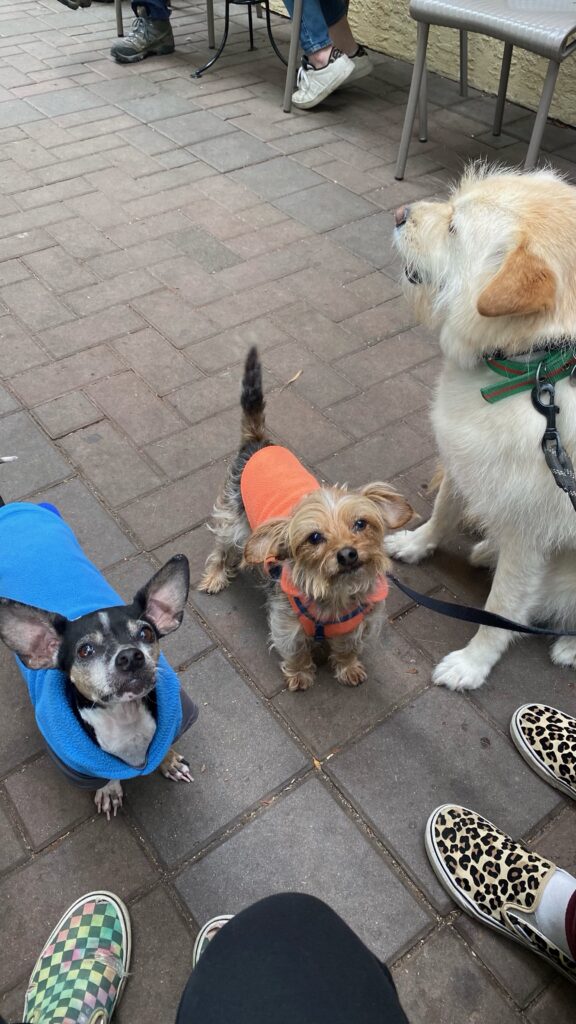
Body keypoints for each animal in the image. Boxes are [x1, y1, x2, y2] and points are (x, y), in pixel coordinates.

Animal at [387, 167, 576, 692]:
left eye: (455, 229)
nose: (398, 212)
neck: (532, 366)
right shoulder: (464, 459)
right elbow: (442, 513)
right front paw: (415, 545)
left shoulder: (532, 533)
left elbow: (502, 609)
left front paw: (473, 664)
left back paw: (569, 646)